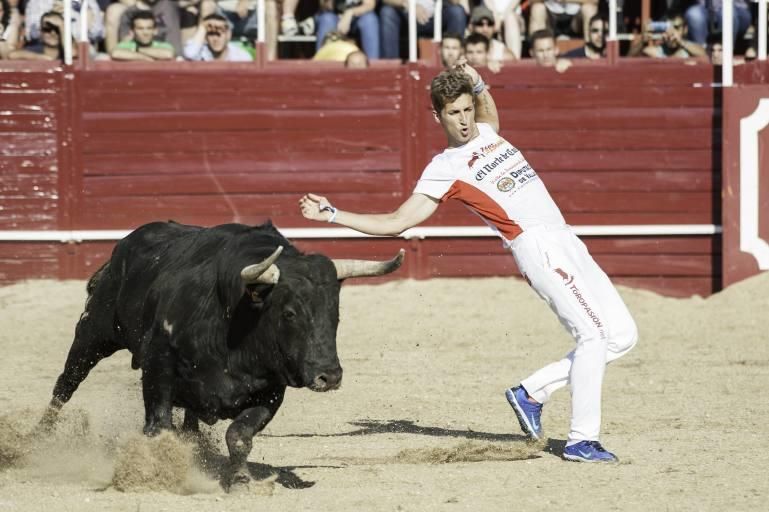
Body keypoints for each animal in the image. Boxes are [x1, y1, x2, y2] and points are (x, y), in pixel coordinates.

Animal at [39, 222, 404, 490]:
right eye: (289, 313)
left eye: (335, 313)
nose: (329, 375)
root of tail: (124, 246)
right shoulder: (159, 366)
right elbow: (159, 427)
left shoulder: (271, 390)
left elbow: (239, 435)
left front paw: (240, 481)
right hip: (94, 332)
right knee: (66, 384)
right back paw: (36, 440)